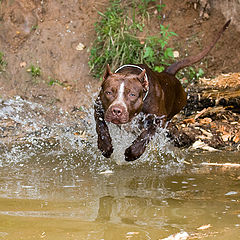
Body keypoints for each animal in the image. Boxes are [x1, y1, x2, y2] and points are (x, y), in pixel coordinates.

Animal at [94, 20, 231, 161]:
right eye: (109, 92)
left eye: (132, 94)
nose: (116, 110)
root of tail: (168, 73)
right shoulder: (98, 107)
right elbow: (101, 126)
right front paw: (105, 146)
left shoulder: (158, 119)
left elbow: (147, 134)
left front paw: (133, 152)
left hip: (174, 109)